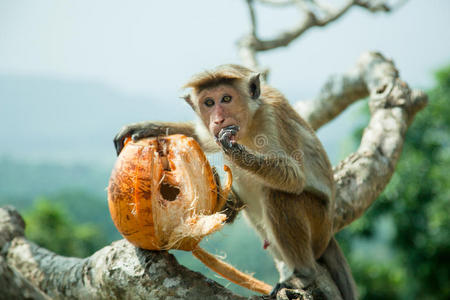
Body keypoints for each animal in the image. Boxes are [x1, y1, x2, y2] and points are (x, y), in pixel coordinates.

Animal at [114, 64, 356, 298]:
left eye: (226, 99)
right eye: (209, 102)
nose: (218, 119)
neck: (250, 121)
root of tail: (329, 235)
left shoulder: (272, 117)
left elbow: (295, 178)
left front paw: (235, 151)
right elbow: (200, 136)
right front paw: (145, 127)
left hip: (318, 222)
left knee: (279, 195)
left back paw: (304, 273)